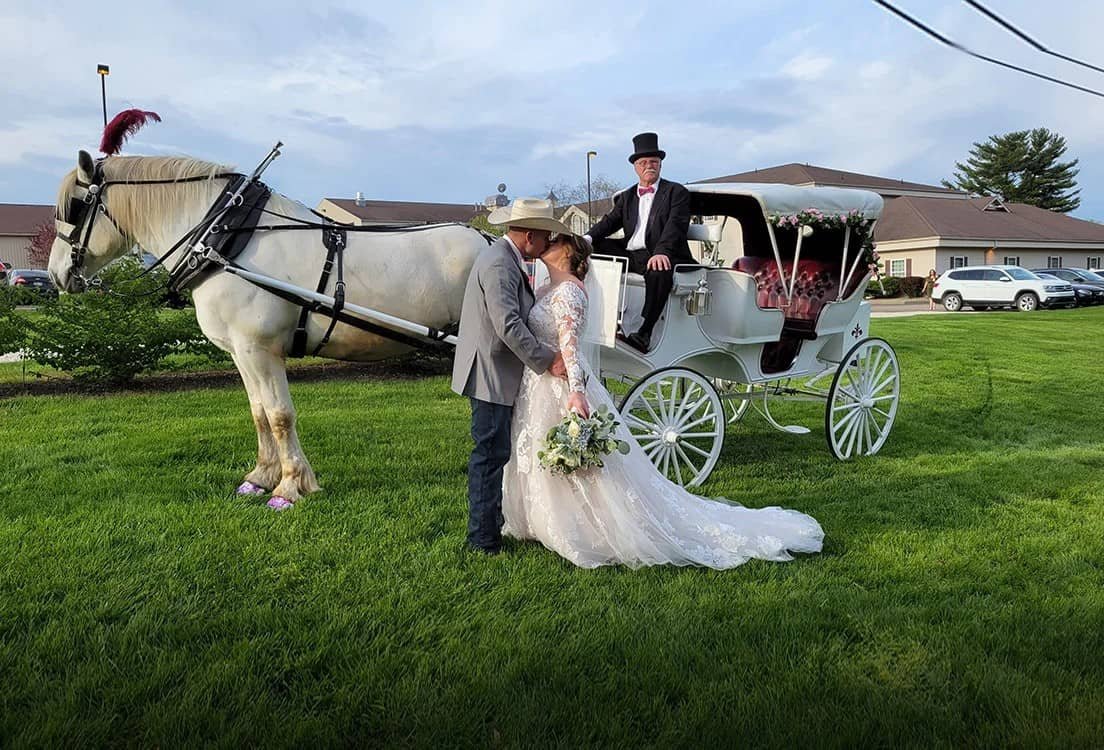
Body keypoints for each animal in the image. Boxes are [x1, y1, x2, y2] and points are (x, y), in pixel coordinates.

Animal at [47, 149, 487, 508]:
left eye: (75, 207)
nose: (56, 274)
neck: (225, 240)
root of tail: (489, 240)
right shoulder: (241, 351)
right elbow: (258, 412)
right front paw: (260, 478)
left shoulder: (260, 349)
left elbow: (279, 416)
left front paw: (290, 487)